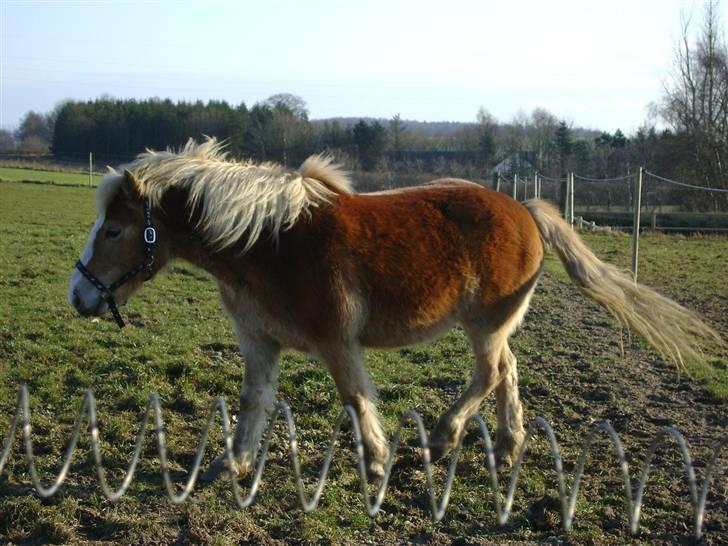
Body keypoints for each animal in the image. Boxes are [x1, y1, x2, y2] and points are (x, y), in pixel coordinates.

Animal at [67, 138, 716, 478]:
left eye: (116, 229)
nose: (79, 295)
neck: (269, 242)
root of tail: (526, 211)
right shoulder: (260, 341)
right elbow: (255, 400)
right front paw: (234, 465)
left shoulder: (336, 342)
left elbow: (355, 399)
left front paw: (377, 460)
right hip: (497, 327)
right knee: (507, 373)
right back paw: (508, 446)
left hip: (485, 325)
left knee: (489, 373)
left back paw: (444, 438)